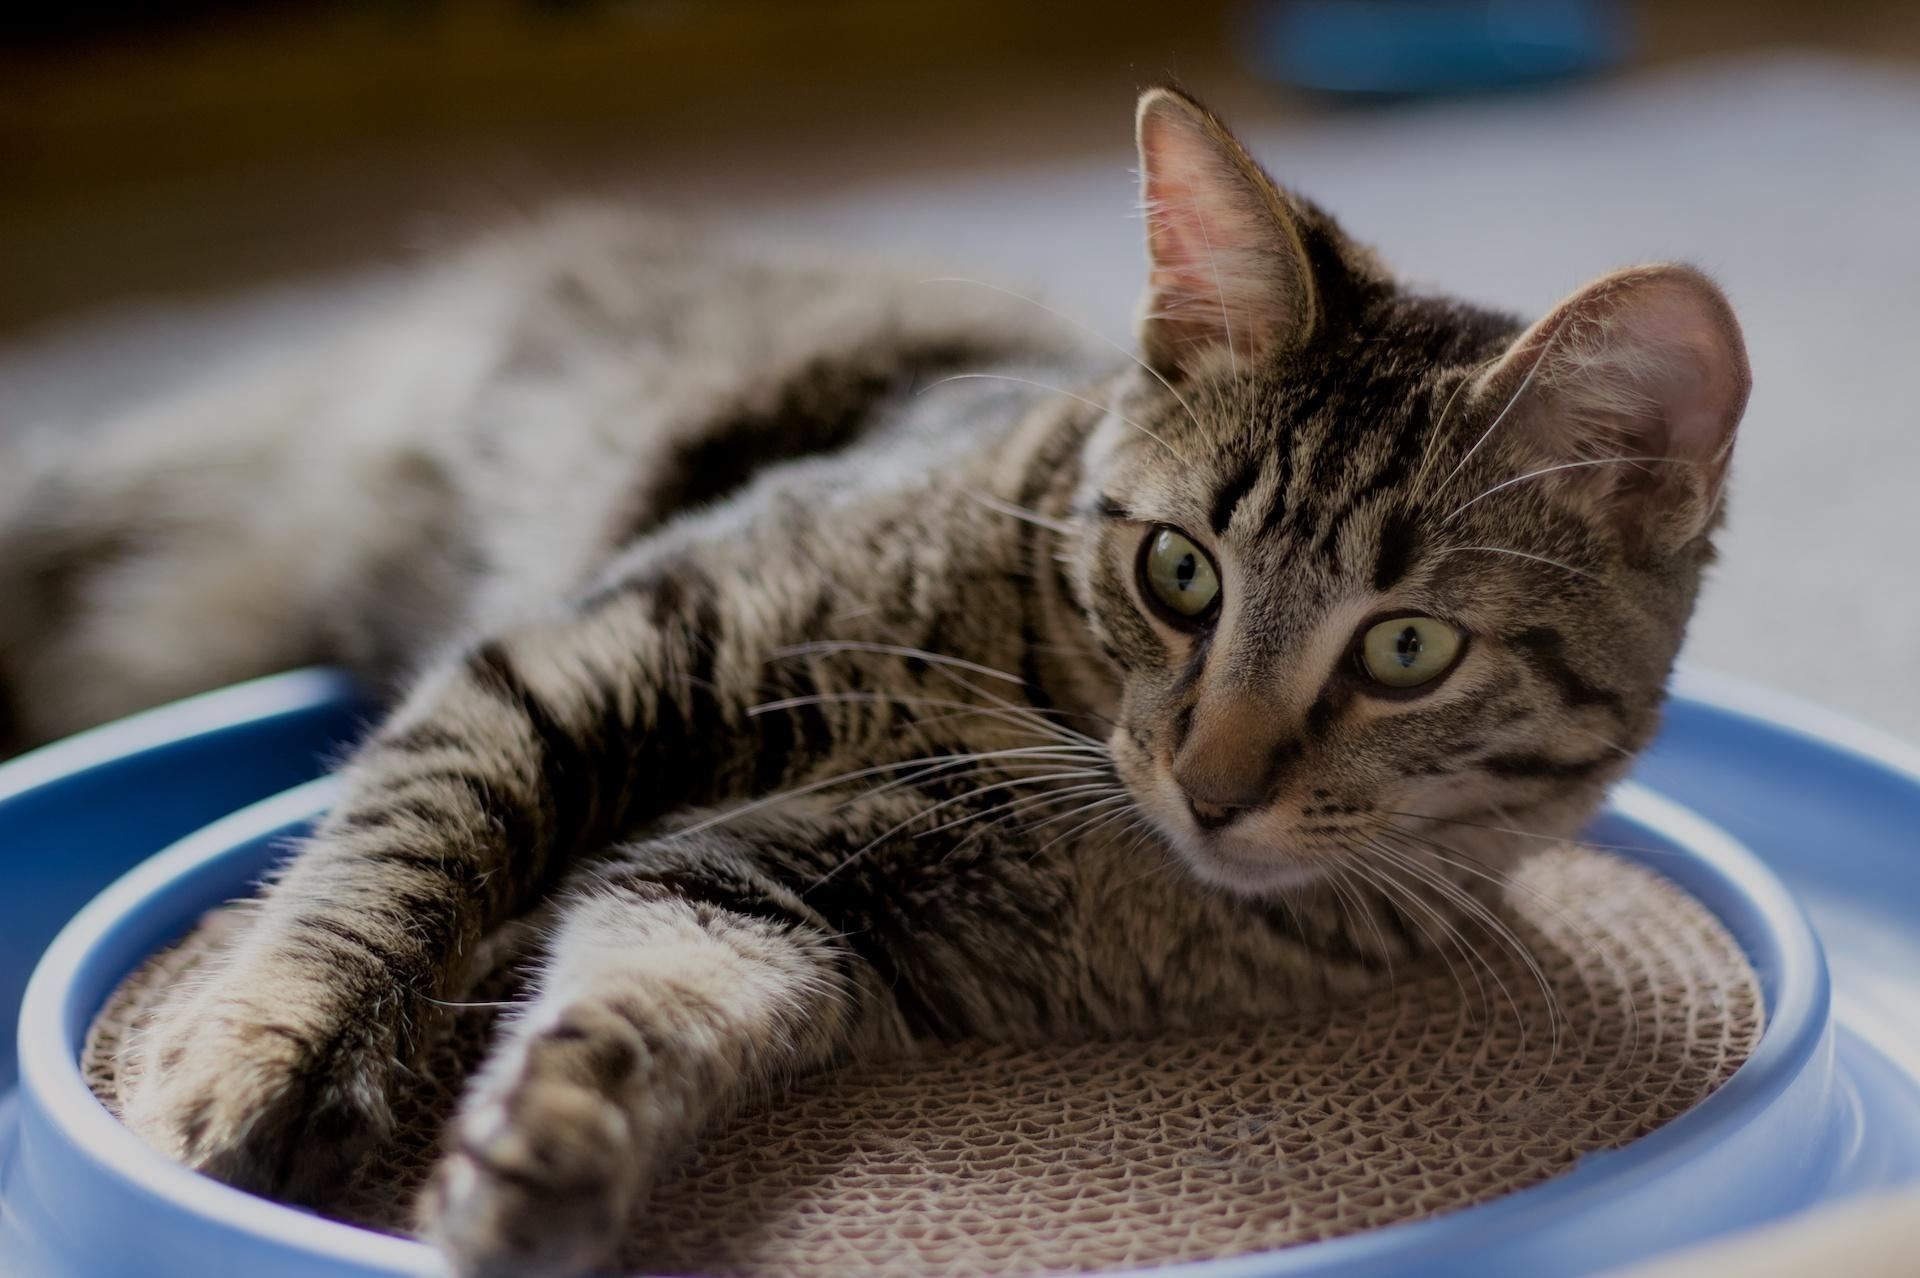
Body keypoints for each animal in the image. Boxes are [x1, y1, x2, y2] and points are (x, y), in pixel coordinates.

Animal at [0, 92, 1751, 1274]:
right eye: (1179, 570)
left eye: (1406, 649)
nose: (1212, 786)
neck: (1031, 718)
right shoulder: (607, 650)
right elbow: (397, 853)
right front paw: (267, 1053)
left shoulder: (803, 903)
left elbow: (649, 992)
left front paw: (549, 1148)